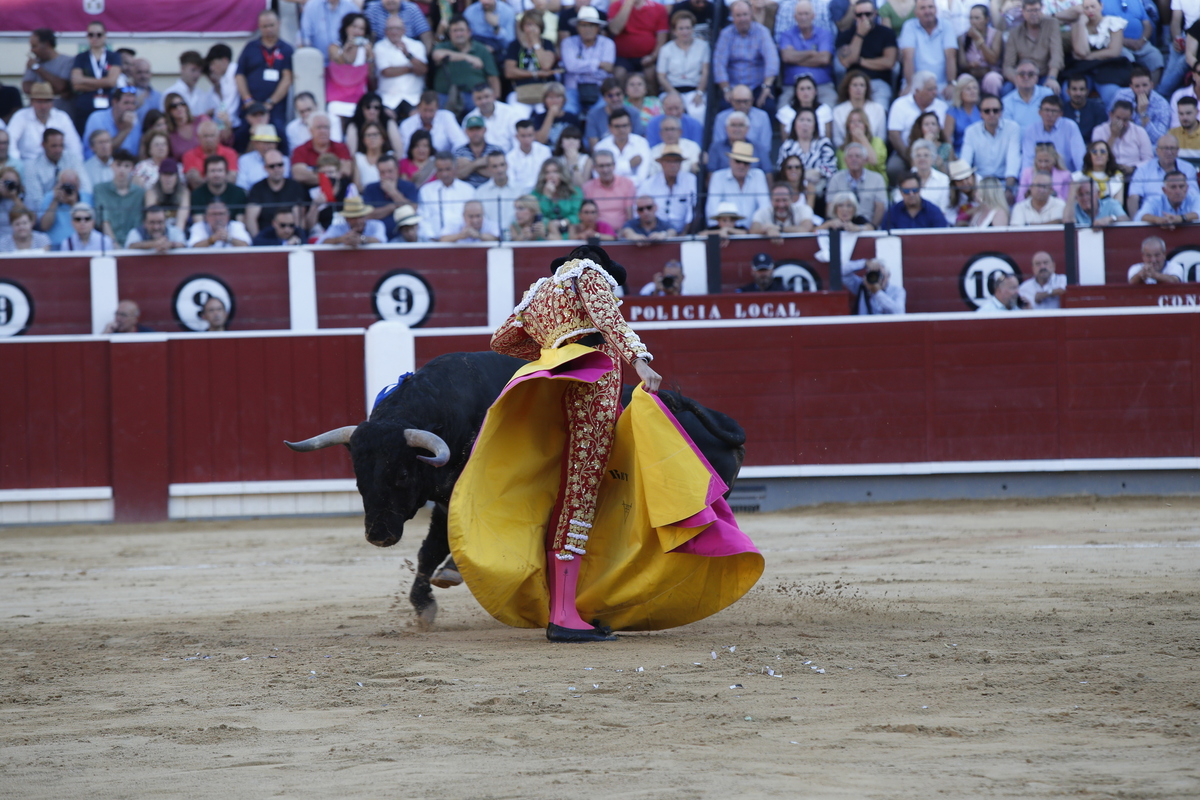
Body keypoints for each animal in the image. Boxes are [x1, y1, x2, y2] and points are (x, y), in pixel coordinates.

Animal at [284, 352, 744, 623]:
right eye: (359, 478)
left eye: (400, 475)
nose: (378, 535)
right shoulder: (444, 498)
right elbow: (429, 549)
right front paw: (423, 602)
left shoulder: (461, 494)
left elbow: (442, 545)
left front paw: (443, 583)